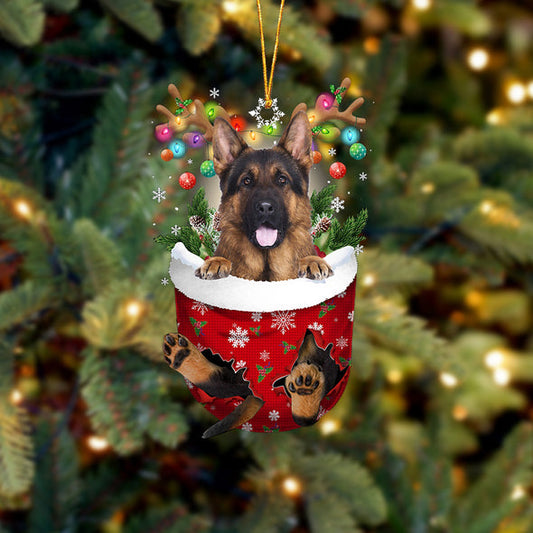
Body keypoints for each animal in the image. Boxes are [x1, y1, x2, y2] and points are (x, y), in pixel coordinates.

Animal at [164, 112, 334, 436]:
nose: (265, 207)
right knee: (221, 379)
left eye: (282, 180)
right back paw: (184, 356)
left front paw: (311, 260)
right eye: (246, 181)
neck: (266, 268)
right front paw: (216, 262)